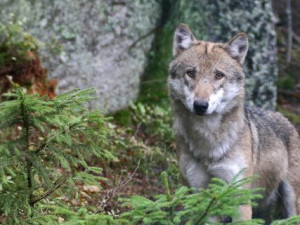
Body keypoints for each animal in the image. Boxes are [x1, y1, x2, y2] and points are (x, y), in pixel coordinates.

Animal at [168, 23, 300, 222]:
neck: (208, 142)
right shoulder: (202, 196)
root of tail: (286, 119)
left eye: (218, 75)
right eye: (190, 73)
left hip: (291, 201)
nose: (200, 105)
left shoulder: (239, 198)